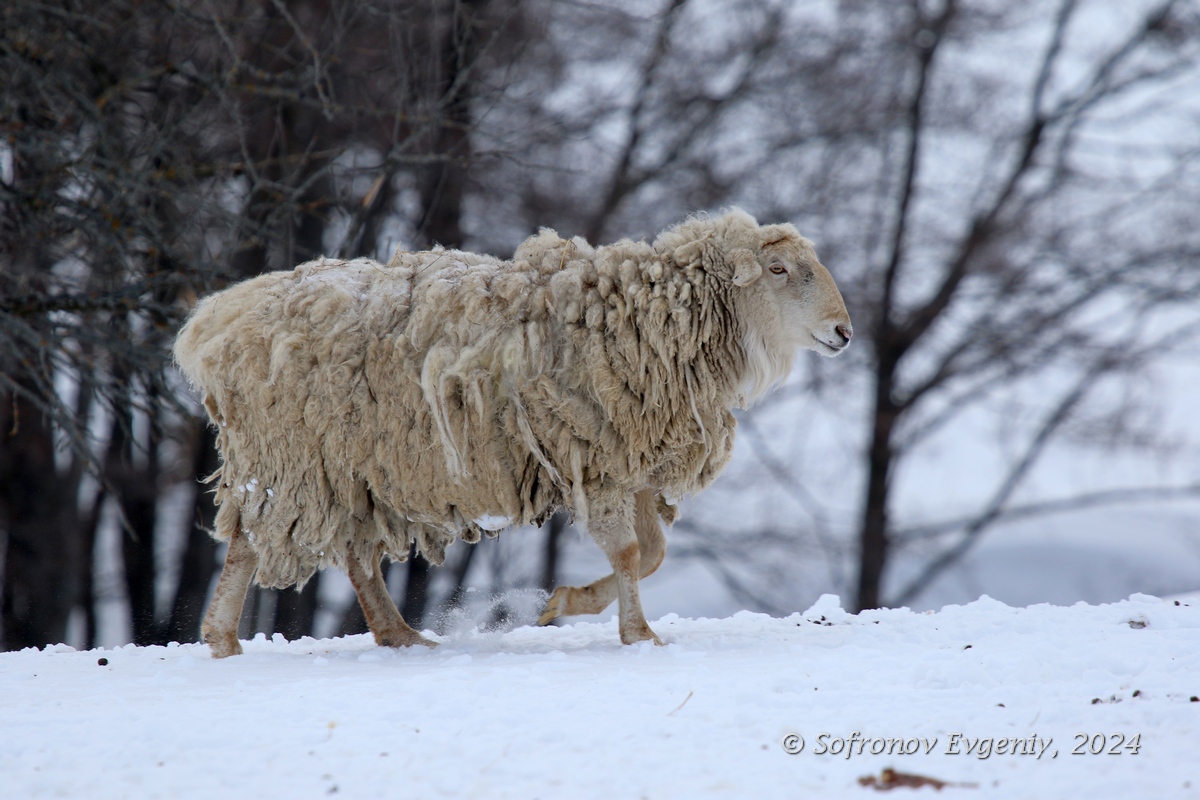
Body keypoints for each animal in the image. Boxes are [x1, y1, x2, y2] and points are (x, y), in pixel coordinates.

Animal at [177, 206, 854, 657]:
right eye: (777, 268)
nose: (844, 332)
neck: (649, 323)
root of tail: (215, 320)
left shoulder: (628, 465)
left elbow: (652, 552)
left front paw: (569, 602)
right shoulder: (597, 462)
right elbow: (631, 553)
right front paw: (637, 633)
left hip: (349, 464)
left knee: (351, 553)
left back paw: (397, 635)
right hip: (289, 454)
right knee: (251, 541)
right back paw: (223, 638)